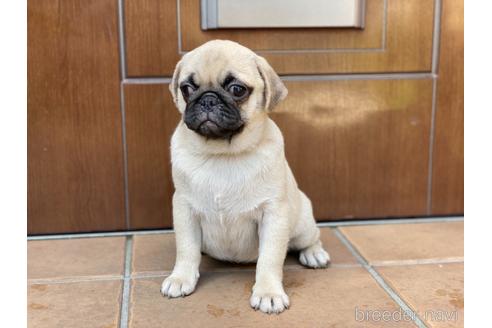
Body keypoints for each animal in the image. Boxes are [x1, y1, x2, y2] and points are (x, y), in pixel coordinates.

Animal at [161, 39, 330, 314]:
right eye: (187, 88)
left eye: (237, 89)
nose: (207, 99)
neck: (222, 154)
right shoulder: (184, 209)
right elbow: (186, 249)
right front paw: (181, 277)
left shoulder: (273, 214)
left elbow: (269, 259)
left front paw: (268, 292)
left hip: (303, 223)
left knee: (310, 239)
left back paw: (314, 254)